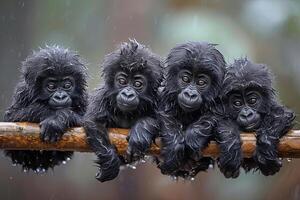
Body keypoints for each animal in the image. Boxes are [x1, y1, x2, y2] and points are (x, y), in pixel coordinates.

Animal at [84, 39, 163, 182]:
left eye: (137, 84)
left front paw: (139, 134)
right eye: (122, 81)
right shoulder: (101, 98)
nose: (127, 94)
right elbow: (94, 122)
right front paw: (110, 163)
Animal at [159, 41, 225, 177]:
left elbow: (216, 115)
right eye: (185, 79)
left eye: (201, 82)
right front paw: (174, 145)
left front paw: (194, 138)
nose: (190, 94)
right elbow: (165, 115)